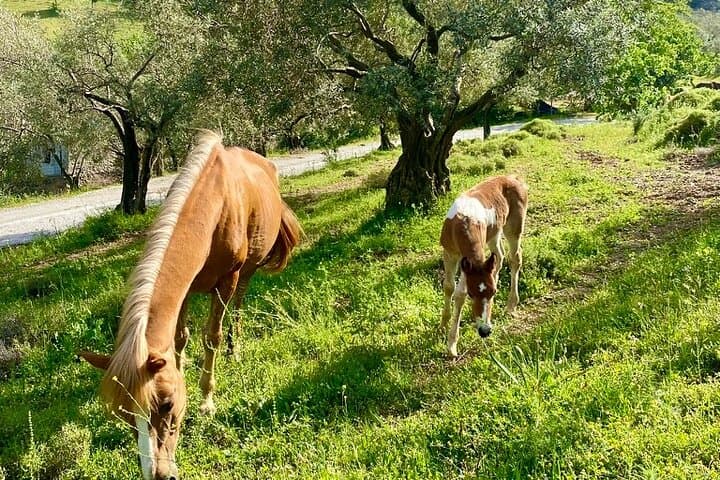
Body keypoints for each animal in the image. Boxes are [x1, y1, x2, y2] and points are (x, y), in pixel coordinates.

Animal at [79, 131, 302, 480]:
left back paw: (235, 348)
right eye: (125, 415)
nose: (158, 475)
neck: (213, 208)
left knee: (239, 306)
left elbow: (211, 337)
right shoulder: (184, 291)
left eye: (166, 405)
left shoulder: (226, 280)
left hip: (247, 272)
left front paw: (207, 400)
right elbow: (179, 339)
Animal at [440, 175, 528, 357]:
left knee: (515, 258)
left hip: (513, 228)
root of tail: (514, 177)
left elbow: (459, 294)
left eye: (494, 292)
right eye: (472, 294)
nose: (485, 331)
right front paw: (443, 325)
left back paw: (511, 304)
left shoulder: (466, 263)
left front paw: (452, 344)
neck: (463, 223)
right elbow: (449, 287)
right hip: (494, 233)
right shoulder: (449, 253)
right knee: (499, 257)